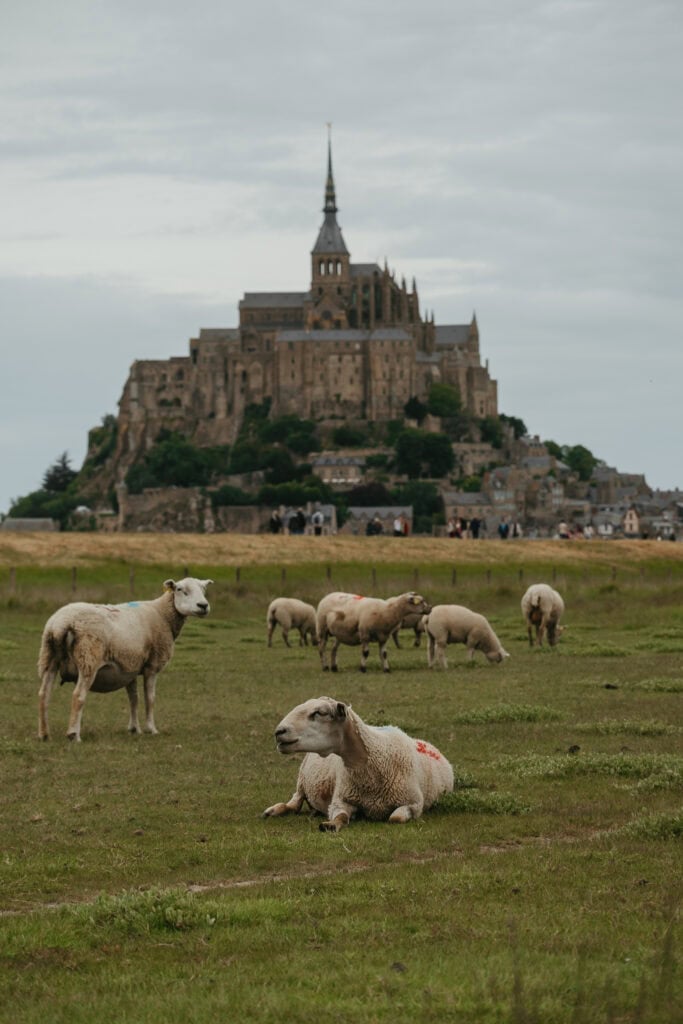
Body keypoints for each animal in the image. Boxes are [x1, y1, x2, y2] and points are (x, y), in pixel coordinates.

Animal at [37, 577, 212, 741]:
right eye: (180, 589)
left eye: (204, 589)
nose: (203, 605)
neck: (163, 614)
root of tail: (60, 624)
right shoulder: (152, 665)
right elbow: (150, 698)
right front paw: (151, 729)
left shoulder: (130, 666)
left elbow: (133, 699)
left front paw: (134, 729)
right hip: (88, 658)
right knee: (78, 696)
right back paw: (74, 735)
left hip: (49, 657)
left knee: (44, 695)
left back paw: (44, 734)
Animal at [262, 695, 454, 831]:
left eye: (319, 713)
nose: (279, 732)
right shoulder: (339, 800)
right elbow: (340, 816)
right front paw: (332, 824)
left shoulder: (414, 804)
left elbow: (395, 818)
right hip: (301, 782)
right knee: (293, 803)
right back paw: (273, 811)